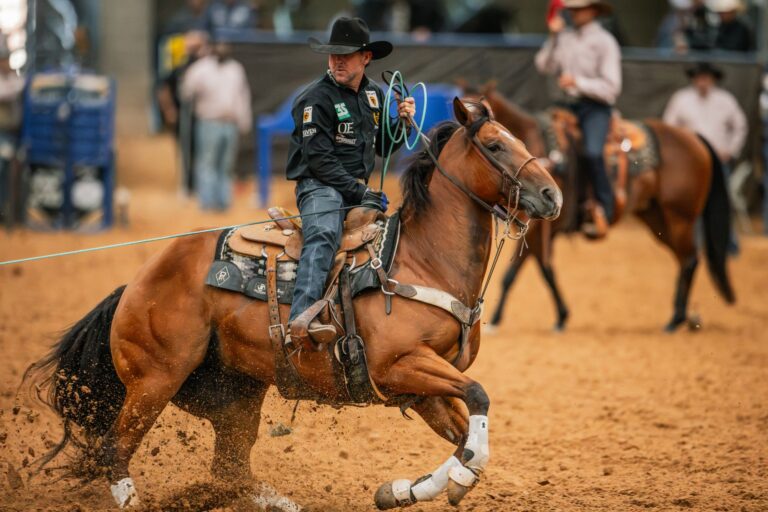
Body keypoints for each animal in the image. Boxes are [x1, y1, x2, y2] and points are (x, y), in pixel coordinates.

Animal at [24, 98, 562, 510]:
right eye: (495, 145)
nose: (552, 194)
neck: (421, 259)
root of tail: (135, 283)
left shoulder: (421, 387)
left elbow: (469, 438)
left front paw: (404, 490)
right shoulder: (401, 365)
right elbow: (479, 400)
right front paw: (446, 482)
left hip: (234, 394)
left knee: (230, 471)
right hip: (155, 380)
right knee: (115, 450)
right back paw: (131, 495)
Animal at [466, 83, 735, 332]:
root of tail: (694, 137)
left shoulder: (538, 228)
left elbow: (516, 273)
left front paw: (497, 320)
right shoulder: (538, 230)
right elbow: (545, 269)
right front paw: (561, 316)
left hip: (680, 217)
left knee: (689, 259)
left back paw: (675, 320)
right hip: (657, 217)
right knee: (685, 259)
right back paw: (684, 317)